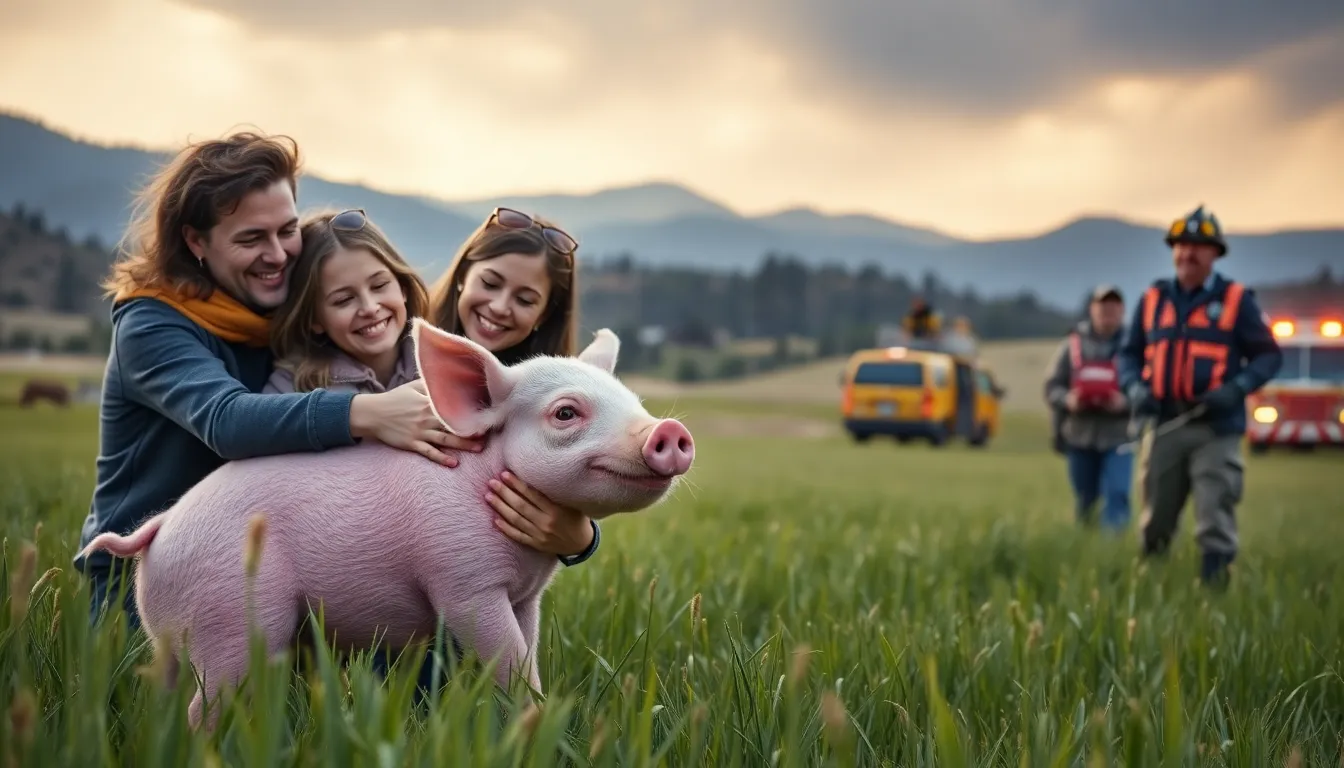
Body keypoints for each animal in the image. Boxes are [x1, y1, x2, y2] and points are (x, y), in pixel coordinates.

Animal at [78, 318, 695, 730]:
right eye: (566, 413)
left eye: (633, 400)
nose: (668, 429)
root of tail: (158, 529)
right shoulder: (463, 581)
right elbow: (508, 660)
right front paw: (533, 721)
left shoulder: (527, 596)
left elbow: (529, 649)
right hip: (232, 613)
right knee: (205, 705)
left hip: (172, 631)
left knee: (163, 690)